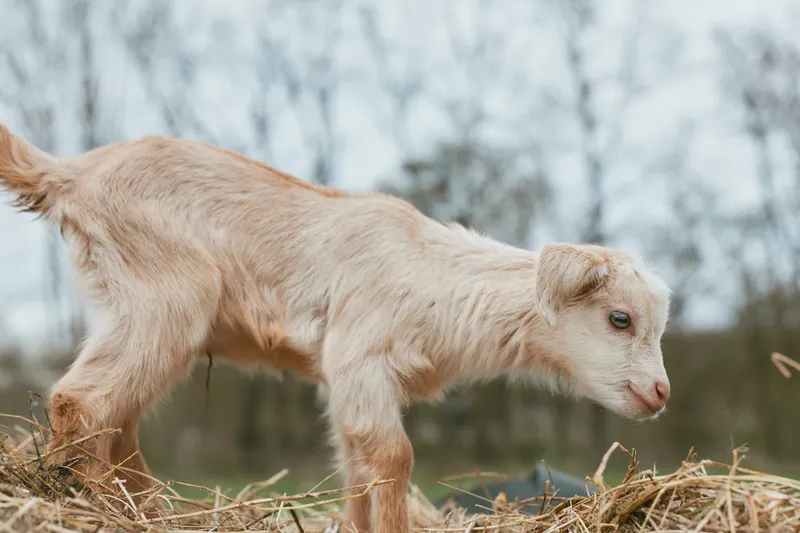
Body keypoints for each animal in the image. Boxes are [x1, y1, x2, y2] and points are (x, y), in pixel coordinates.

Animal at [0, 125, 671, 533]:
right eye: (619, 317)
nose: (662, 393)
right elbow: (393, 456)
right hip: (164, 299)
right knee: (83, 401)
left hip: (125, 306)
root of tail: (72, 173)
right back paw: (104, 507)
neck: (431, 276)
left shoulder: (344, 380)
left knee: (117, 417)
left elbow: (356, 465)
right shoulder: (361, 356)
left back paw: (146, 506)